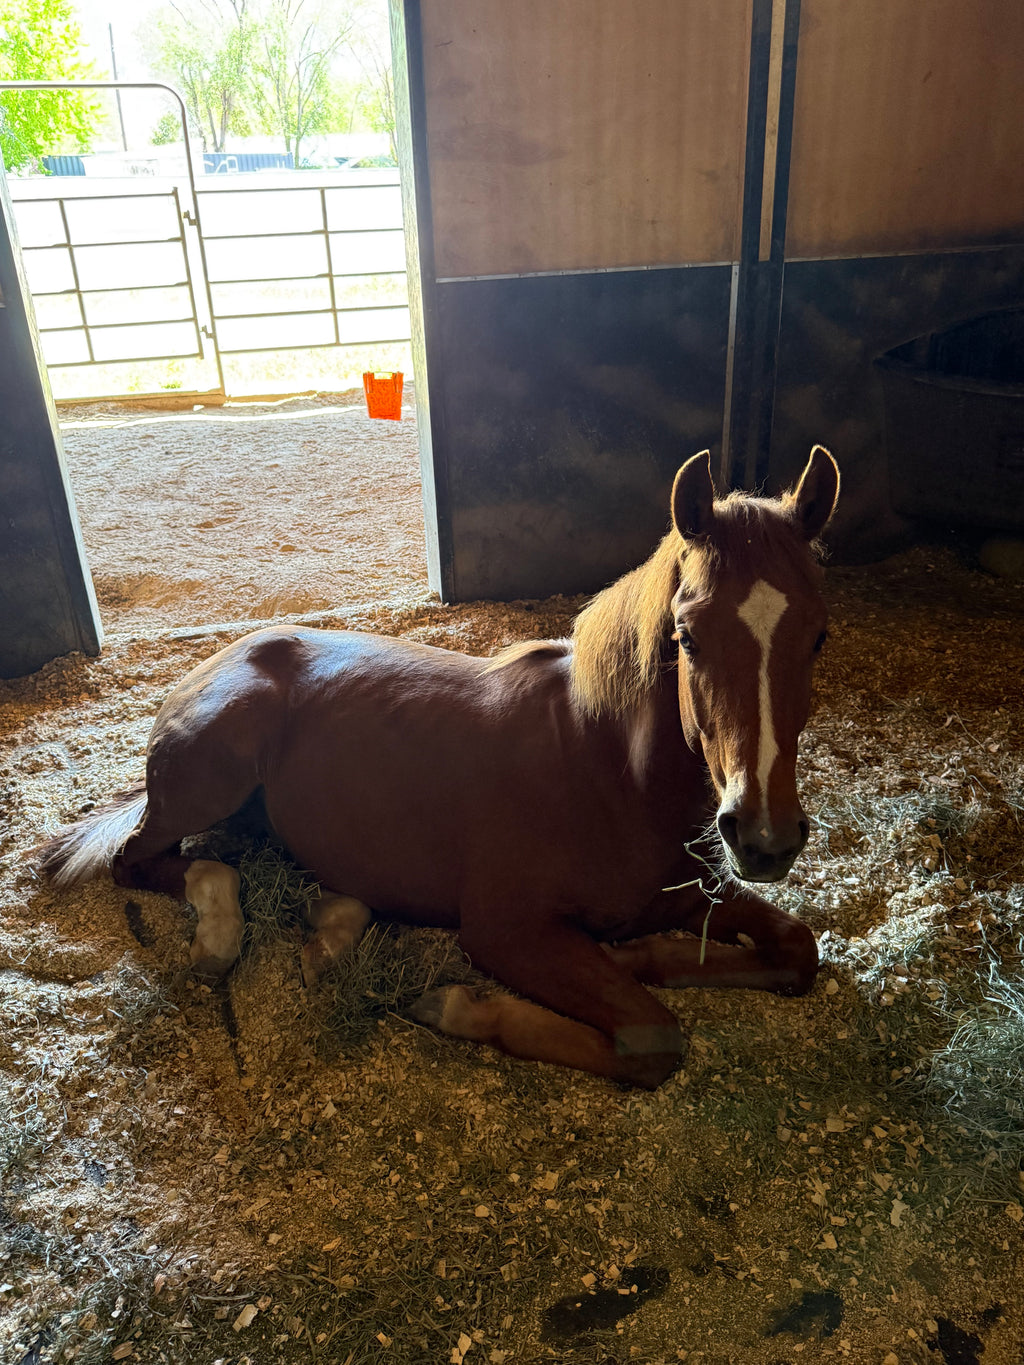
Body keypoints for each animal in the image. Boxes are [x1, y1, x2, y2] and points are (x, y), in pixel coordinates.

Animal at [37, 445, 839, 1089]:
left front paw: (643, 954)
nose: (764, 839)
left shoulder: (685, 895)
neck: (606, 771)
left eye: (819, 635)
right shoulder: (508, 933)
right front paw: (456, 1007)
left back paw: (329, 936)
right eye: (688, 635)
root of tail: (223, 657)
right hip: (213, 776)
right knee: (148, 859)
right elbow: (651, 1036)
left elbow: (798, 948)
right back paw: (220, 936)